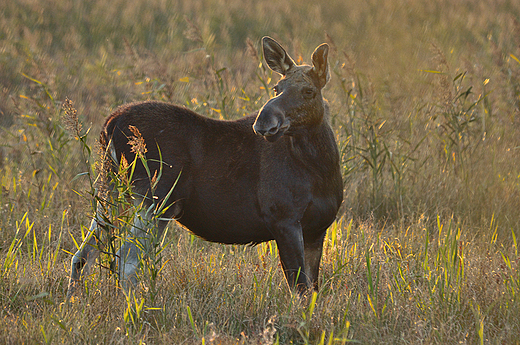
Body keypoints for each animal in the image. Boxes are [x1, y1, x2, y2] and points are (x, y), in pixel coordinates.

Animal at [68, 36, 346, 296]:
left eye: (309, 91)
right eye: (277, 87)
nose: (264, 121)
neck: (321, 169)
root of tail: (110, 125)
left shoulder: (317, 227)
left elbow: (313, 288)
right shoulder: (283, 217)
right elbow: (300, 288)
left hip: (111, 190)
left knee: (82, 255)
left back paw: (73, 301)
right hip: (154, 198)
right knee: (125, 259)